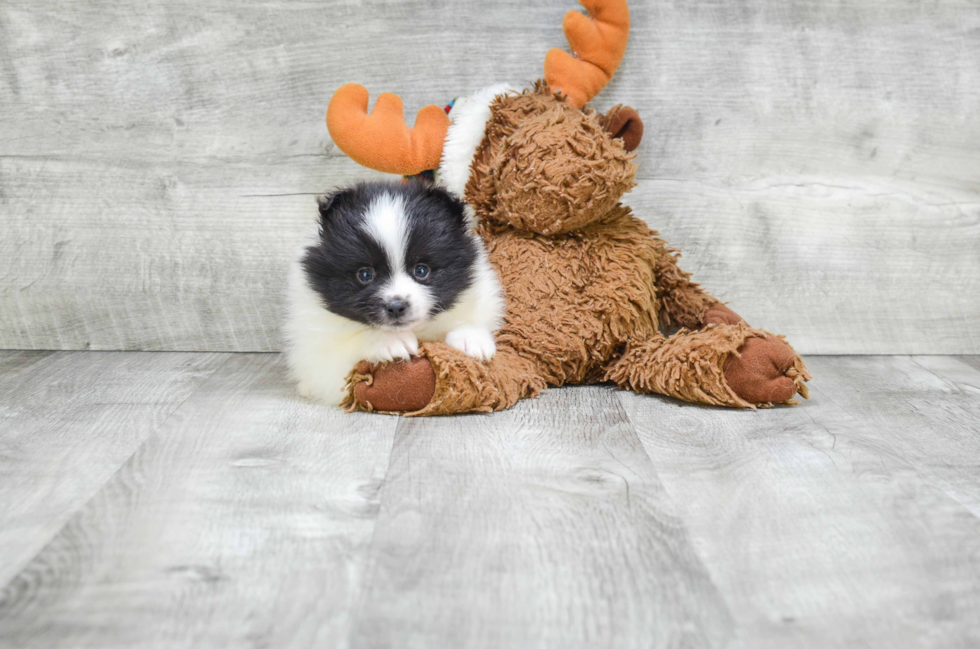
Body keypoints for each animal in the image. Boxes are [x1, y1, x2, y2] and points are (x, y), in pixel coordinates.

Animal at [282, 180, 498, 402]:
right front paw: (389, 341)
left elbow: (467, 317)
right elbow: (348, 348)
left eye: (421, 270)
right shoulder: (322, 357)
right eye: (365, 274)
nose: (396, 306)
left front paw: (471, 339)